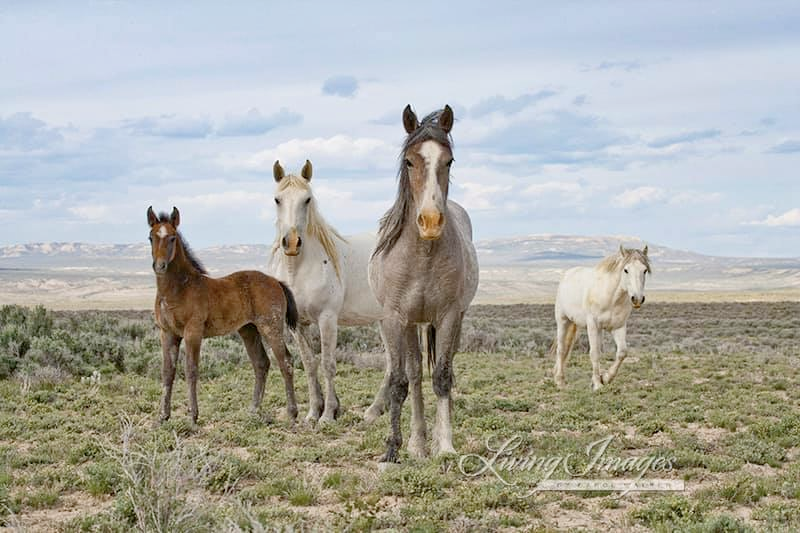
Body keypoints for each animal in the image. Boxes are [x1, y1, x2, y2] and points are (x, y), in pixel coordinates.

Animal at [147, 206, 299, 425]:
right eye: (150, 237)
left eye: (173, 238)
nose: (159, 266)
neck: (179, 288)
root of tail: (276, 282)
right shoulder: (167, 334)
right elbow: (167, 372)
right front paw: (162, 416)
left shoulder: (193, 332)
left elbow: (191, 370)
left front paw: (193, 416)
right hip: (249, 330)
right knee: (261, 363)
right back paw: (253, 410)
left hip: (271, 327)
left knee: (285, 361)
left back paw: (292, 413)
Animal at [267, 160, 387, 425]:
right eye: (277, 199)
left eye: (307, 199)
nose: (291, 243)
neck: (300, 269)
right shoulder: (297, 324)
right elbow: (310, 364)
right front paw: (313, 412)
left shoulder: (327, 319)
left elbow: (328, 364)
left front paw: (329, 414)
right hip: (386, 321)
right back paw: (376, 409)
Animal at [369, 104, 479, 462]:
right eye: (409, 161)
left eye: (449, 161)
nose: (430, 221)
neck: (423, 255)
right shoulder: (395, 318)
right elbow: (401, 381)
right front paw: (394, 447)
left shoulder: (448, 316)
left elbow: (442, 376)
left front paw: (444, 445)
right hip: (410, 324)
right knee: (415, 374)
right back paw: (417, 442)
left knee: (445, 368)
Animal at [552, 245, 651, 391]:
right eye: (626, 270)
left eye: (644, 270)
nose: (637, 299)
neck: (611, 297)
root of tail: (568, 274)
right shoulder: (593, 325)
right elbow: (594, 353)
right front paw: (598, 385)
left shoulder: (618, 326)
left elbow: (622, 352)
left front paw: (605, 378)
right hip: (563, 321)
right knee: (561, 349)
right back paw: (560, 381)